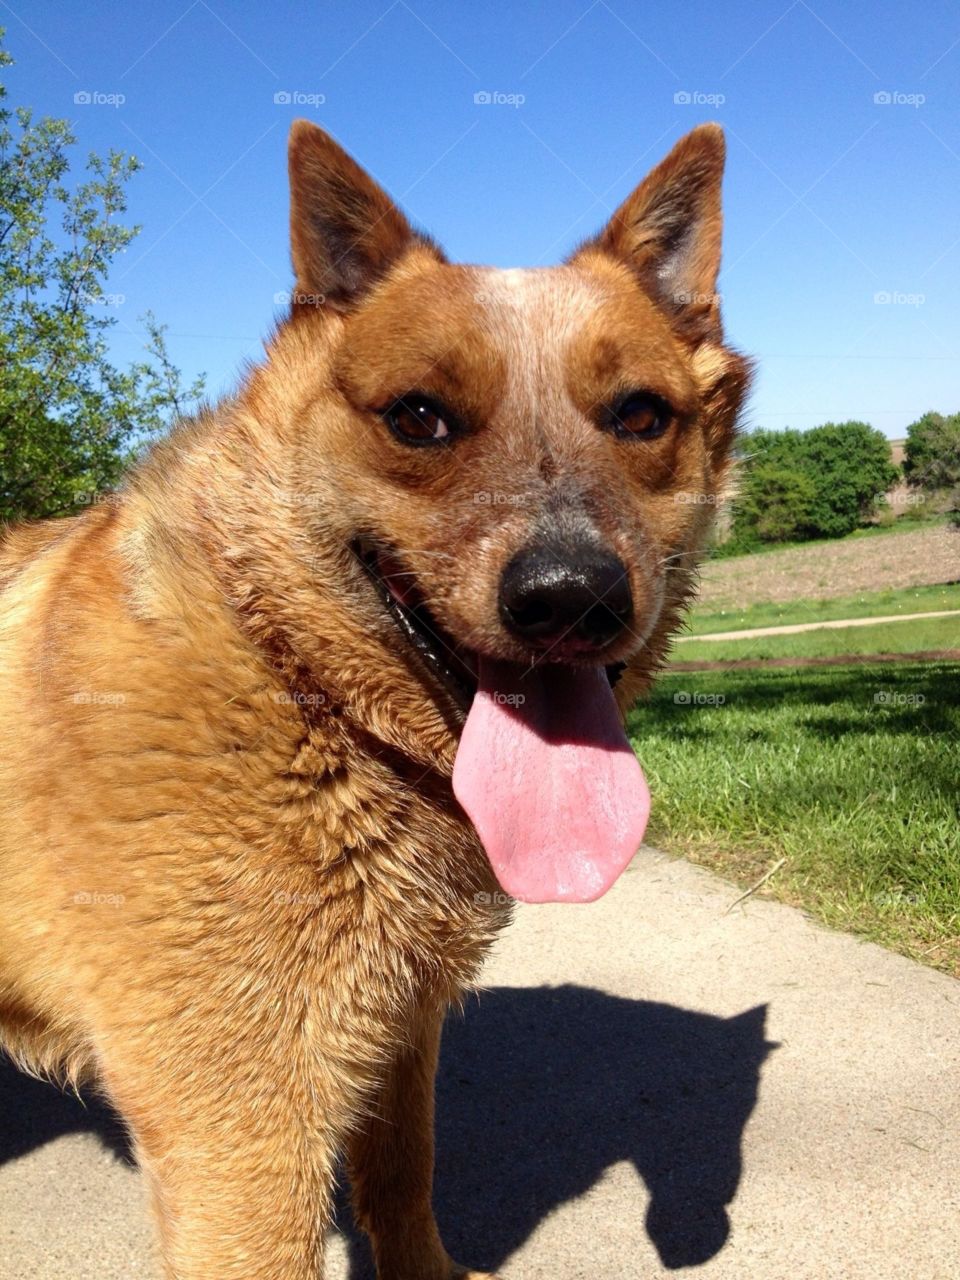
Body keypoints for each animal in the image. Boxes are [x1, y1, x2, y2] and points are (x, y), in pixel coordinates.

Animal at [0, 122, 752, 1280]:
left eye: (640, 414)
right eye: (418, 418)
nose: (571, 598)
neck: (296, 683)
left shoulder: (397, 1032)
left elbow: (403, 1182)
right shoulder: (241, 1146)